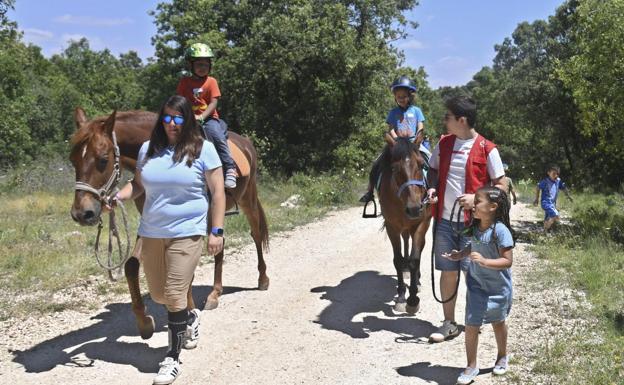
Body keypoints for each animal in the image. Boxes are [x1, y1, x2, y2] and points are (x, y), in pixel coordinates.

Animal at [69, 106, 270, 338]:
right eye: (73, 160)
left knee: (256, 233)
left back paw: (262, 279)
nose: (82, 213)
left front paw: (187, 311)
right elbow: (131, 266)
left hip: (248, 198)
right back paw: (215, 293)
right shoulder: (151, 223)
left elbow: (184, 271)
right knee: (220, 246)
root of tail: (246, 143)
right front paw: (144, 320)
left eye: (102, 159)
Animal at [378, 134, 432, 314]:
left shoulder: (420, 224)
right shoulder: (392, 227)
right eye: (394, 169)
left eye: (421, 165)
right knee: (406, 241)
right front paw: (402, 295)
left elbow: (415, 259)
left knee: (418, 249)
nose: (414, 208)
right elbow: (398, 259)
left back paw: (417, 279)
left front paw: (413, 299)